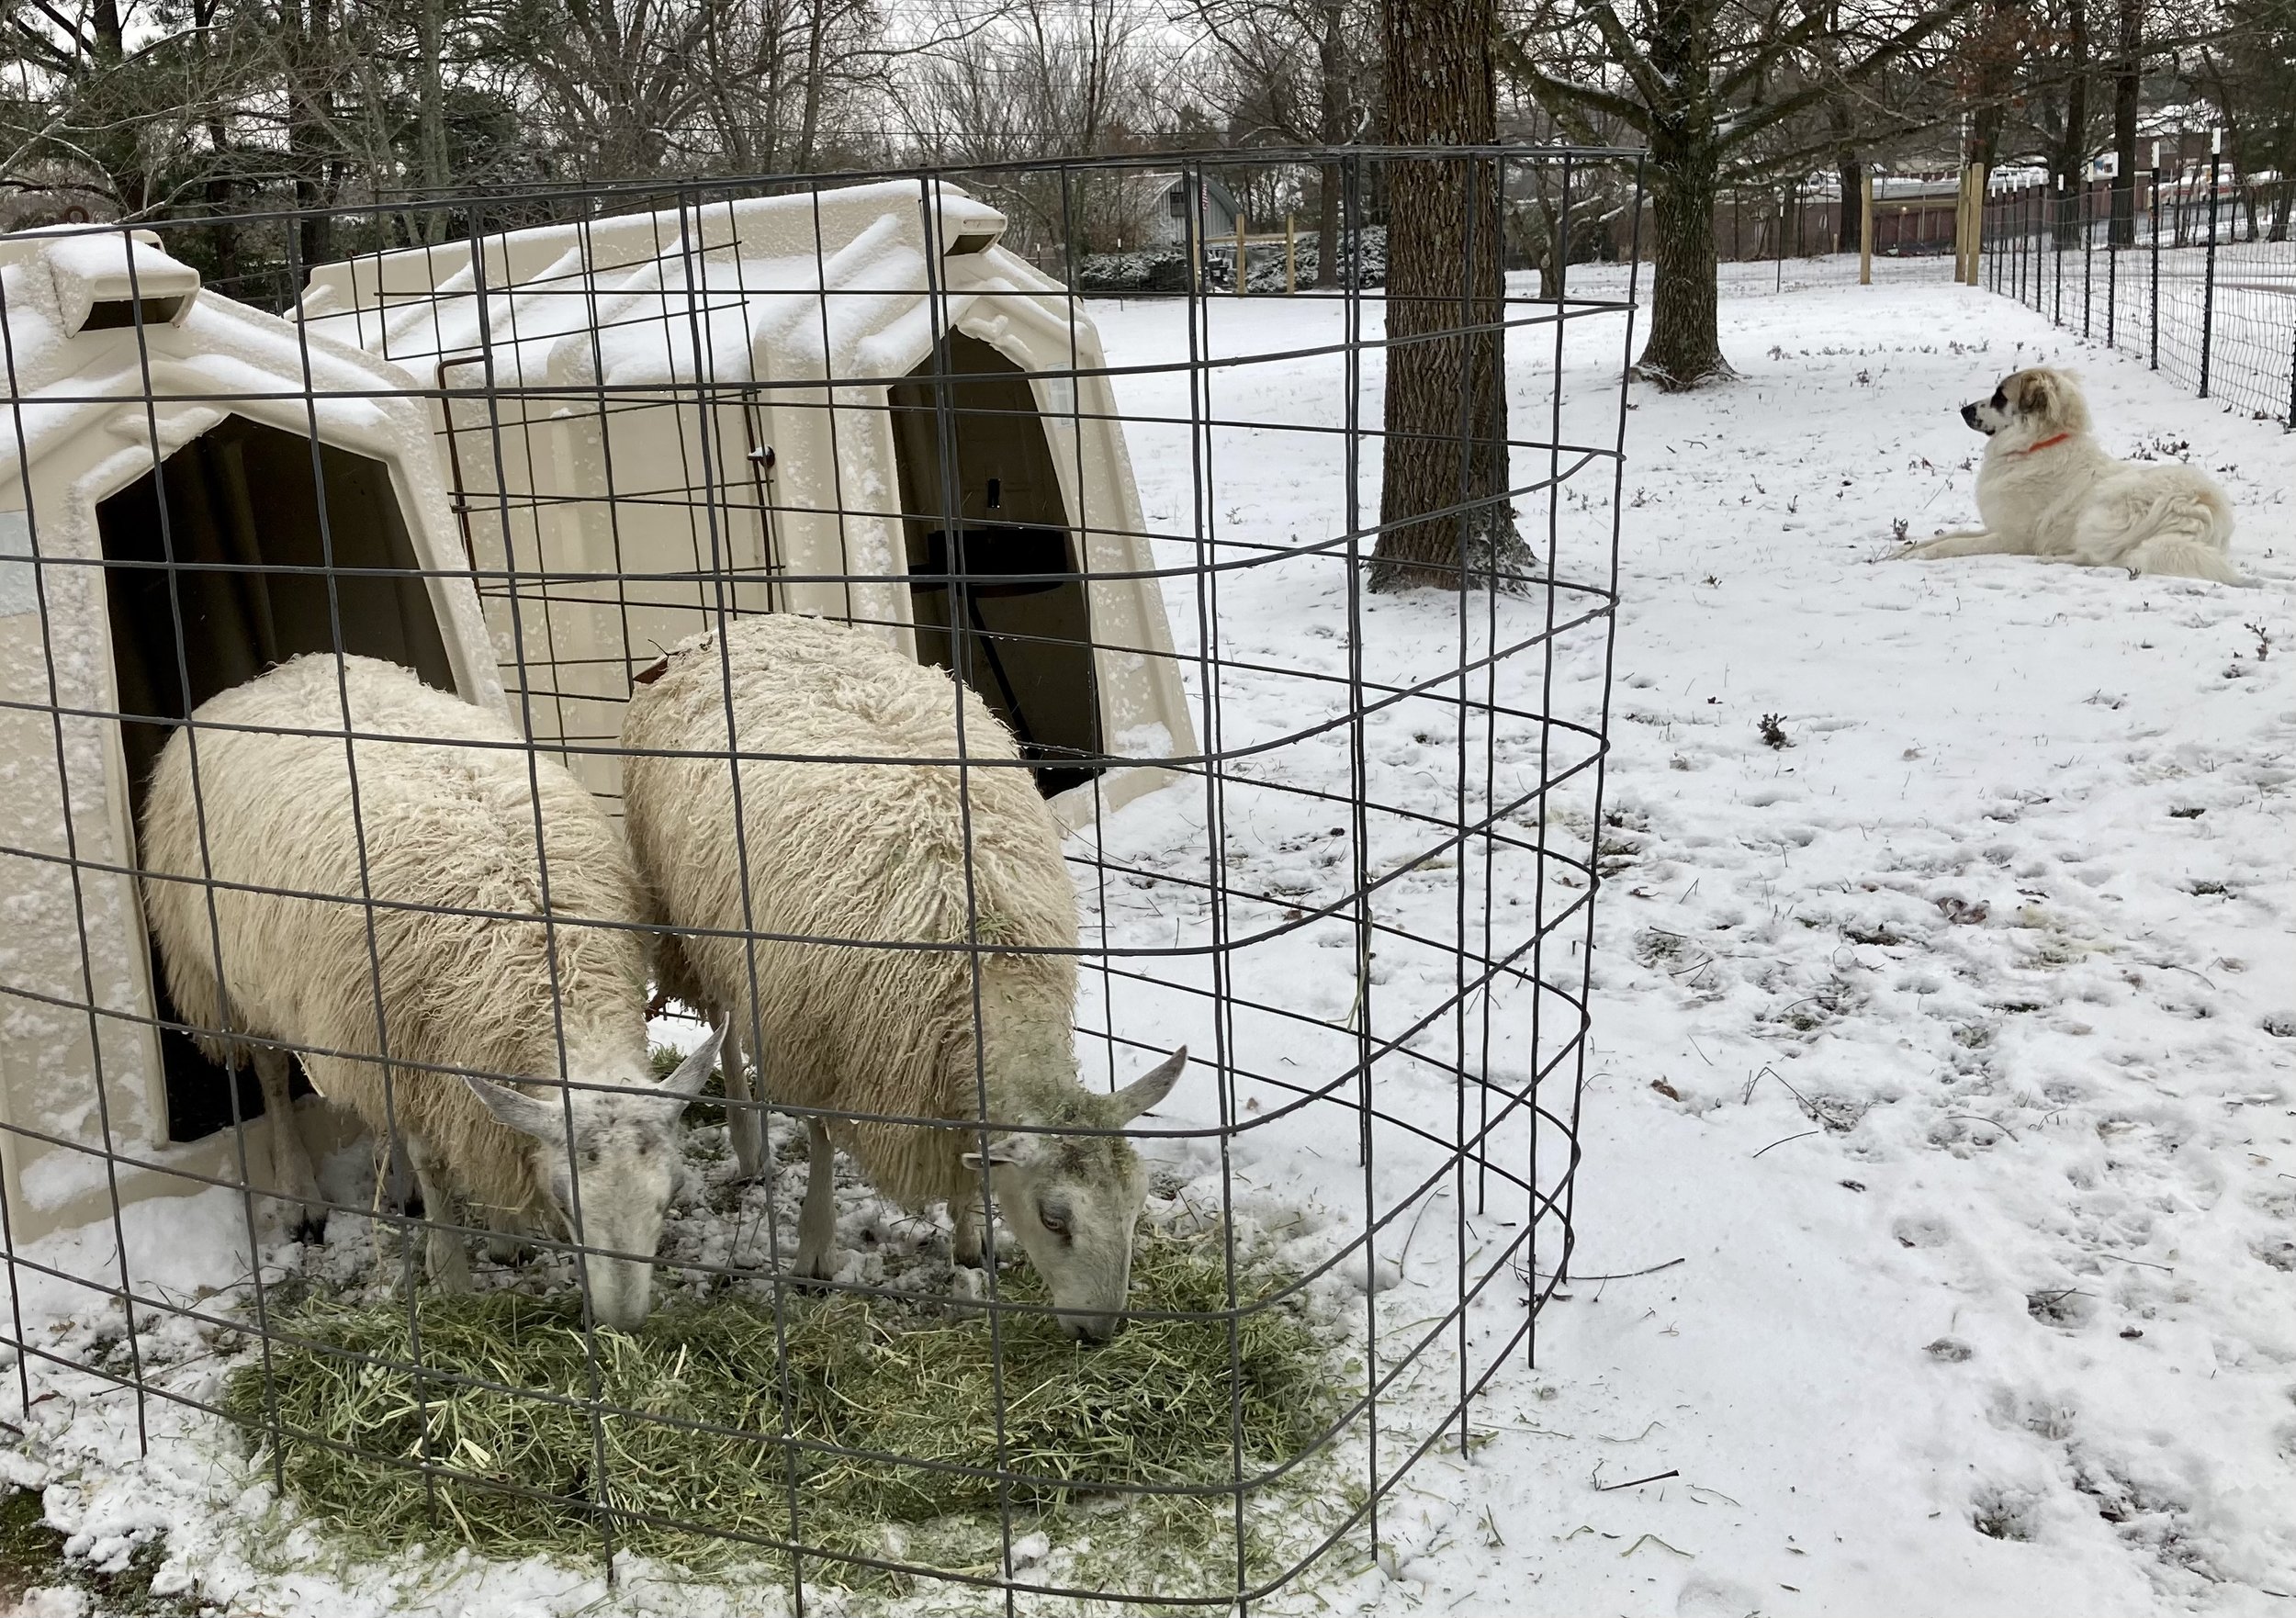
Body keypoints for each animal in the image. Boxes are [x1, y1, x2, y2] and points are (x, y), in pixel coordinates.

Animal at [143, 651, 716, 1331]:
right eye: (566, 1203)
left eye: (669, 1196)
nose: (622, 1324)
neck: (544, 962)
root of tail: (284, 670)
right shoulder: (413, 1047)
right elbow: (433, 1159)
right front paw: (451, 1274)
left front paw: (503, 1233)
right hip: (227, 970)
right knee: (271, 1073)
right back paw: (301, 1193)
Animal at [620, 610, 1185, 1340]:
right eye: (1054, 1219)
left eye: (1138, 1206)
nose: (1101, 1335)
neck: (980, 959)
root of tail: (742, 624)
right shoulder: (817, 1039)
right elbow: (821, 1139)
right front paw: (814, 1254)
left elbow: (972, 1161)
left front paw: (972, 1240)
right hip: (692, 911)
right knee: (724, 1022)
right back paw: (748, 1146)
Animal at [1901, 365, 2241, 580]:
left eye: (2000, 397)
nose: (1964, 410)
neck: (2037, 445)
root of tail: (2205, 507)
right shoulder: (1995, 526)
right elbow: (1949, 535)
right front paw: (1901, 551)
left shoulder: (2011, 538)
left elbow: (1954, 544)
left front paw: (1917, 557)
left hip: (2100, 511)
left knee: (2099, 558)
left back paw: (2049, 557)